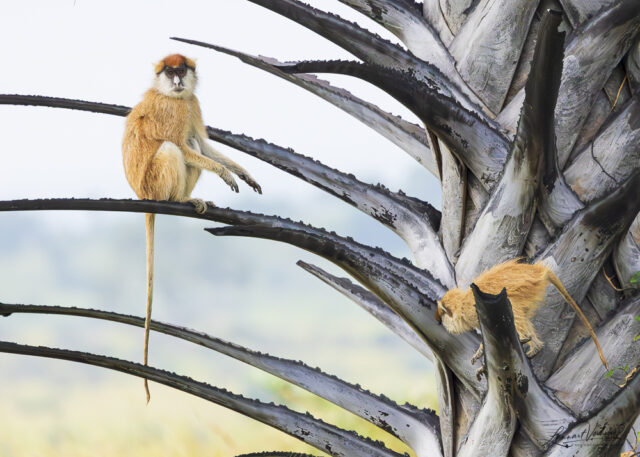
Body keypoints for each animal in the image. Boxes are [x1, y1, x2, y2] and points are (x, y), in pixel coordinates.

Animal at [122, 54, 262, 402]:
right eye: (169, 72)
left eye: (181, 70)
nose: (177, 81)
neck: (172, 95)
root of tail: (143, 197)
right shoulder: (176, 109)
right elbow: (184, 147)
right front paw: (226, 173)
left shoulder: (191, 103)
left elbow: (204, 145)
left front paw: (243, 172)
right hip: (156, 182)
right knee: (175, 148)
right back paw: (181, 199)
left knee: (193, 142)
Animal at [435, 258, 609, 375]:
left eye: (443, 318)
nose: (439, 323)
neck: (462, 304)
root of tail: (537, 271)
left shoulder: (474, 311)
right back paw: (535, 348)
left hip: (523, 290)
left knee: (515, 314)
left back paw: (526, 342)